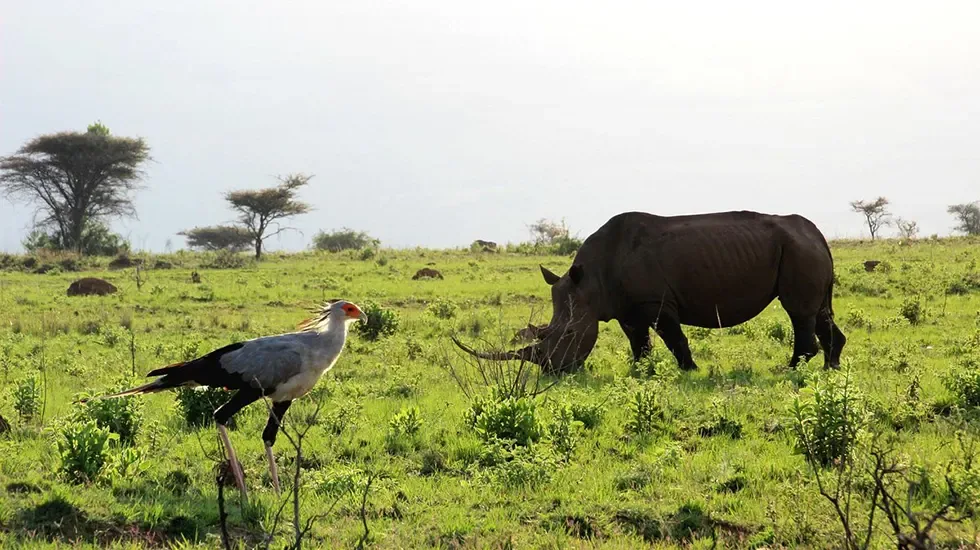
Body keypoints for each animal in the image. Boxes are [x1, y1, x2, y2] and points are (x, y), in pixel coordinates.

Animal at [452, 210, 846, 373]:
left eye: (568, 333)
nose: (552, 370)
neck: (590, 282)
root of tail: (819, 235)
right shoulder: (626, 308)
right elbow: (638, 342)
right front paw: (640, 372)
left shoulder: (656, 301)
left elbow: (674, 338)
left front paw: (689, 370)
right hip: (801, 249)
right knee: (819, 311)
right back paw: (831, 367)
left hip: (797, 250)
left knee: (798, 311)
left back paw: (790, 369)